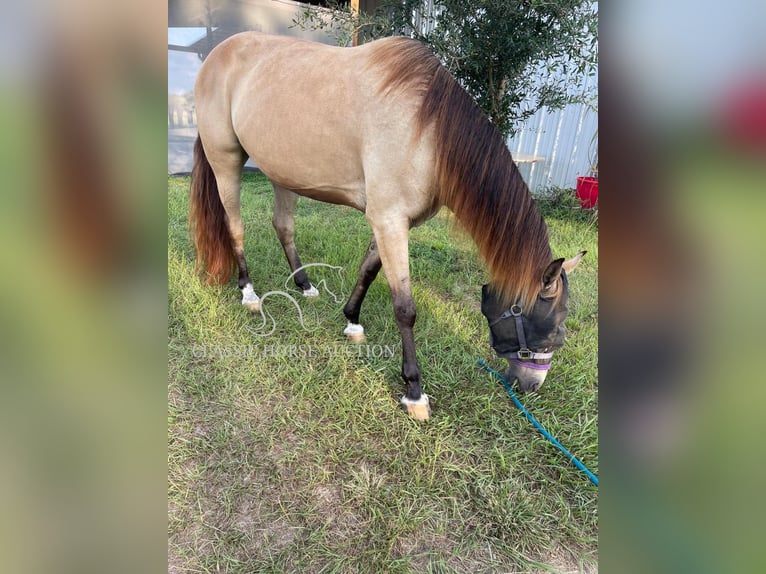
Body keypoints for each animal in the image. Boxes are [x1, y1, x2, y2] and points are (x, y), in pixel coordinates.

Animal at [189, 31, 584, 420]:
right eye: (550, 326)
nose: (531, 384)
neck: (426, 129)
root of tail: (217, 54)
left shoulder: (391, 221)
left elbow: (367, 269)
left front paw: (352, 322)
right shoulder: (389, 219)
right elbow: (405, 308)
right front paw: (414, 393)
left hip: (282, 172)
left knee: (283, 226)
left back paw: (305, 285)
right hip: (226, 160)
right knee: (235, 226)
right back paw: (249, 294)